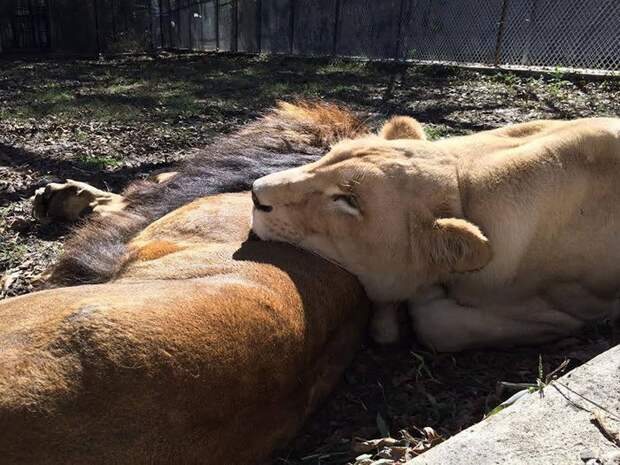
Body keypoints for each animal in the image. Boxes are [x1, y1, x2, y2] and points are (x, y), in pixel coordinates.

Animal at [251, 115, 620, 348]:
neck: (463, 186)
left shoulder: (570, 306)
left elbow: (434, 324)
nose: (255, 193)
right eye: (328, 155)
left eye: (348, 200)